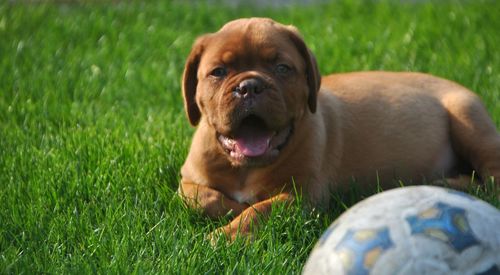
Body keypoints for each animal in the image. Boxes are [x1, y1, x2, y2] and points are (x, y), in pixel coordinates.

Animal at [180, 17, 500, 242]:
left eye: (282, 68)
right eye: (218, 72)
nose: (249, 87)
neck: (245, 168)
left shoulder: (303, 194)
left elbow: (260, 211)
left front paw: (225, 235)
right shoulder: (187, 180)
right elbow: (201, 198)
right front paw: (231, 211)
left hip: (469, 121)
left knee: (492, 179)